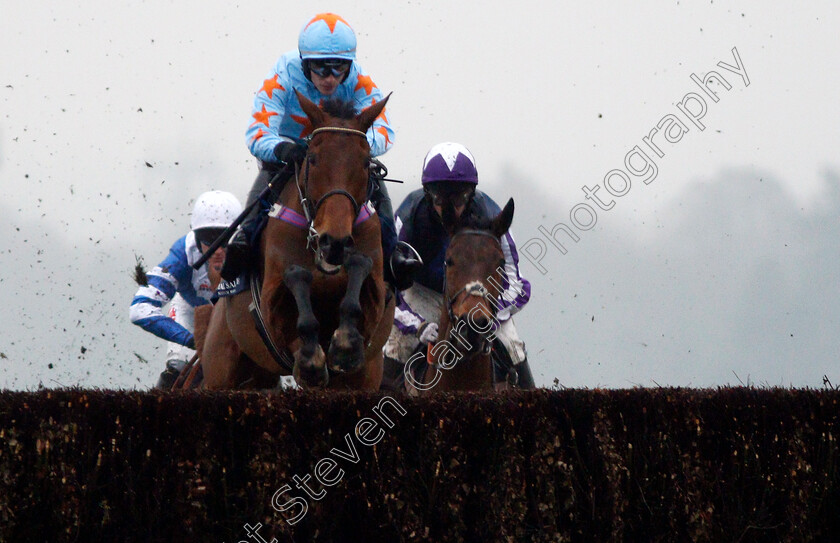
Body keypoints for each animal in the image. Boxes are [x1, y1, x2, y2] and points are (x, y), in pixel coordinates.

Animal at [205, 92, 398, 392]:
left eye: (366, 161)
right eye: (313, 159)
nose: (334, 241)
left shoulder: (377, 295)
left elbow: (360, 273)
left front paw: (344, 347)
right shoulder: (270, 303)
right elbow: (297, 296)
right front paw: (312, 361)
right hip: (220, 367)